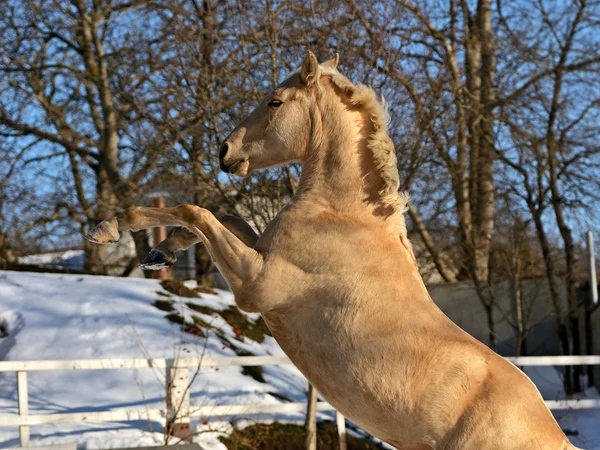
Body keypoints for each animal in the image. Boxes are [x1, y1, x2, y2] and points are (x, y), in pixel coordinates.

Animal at [89, 52, 580, 450]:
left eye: (274, 101)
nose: (225, 151)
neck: (341, 213)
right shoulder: (258, 256)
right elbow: (223, 217)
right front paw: (161, 254)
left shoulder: (254, 286)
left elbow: (196, 211)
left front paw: (108, 228)